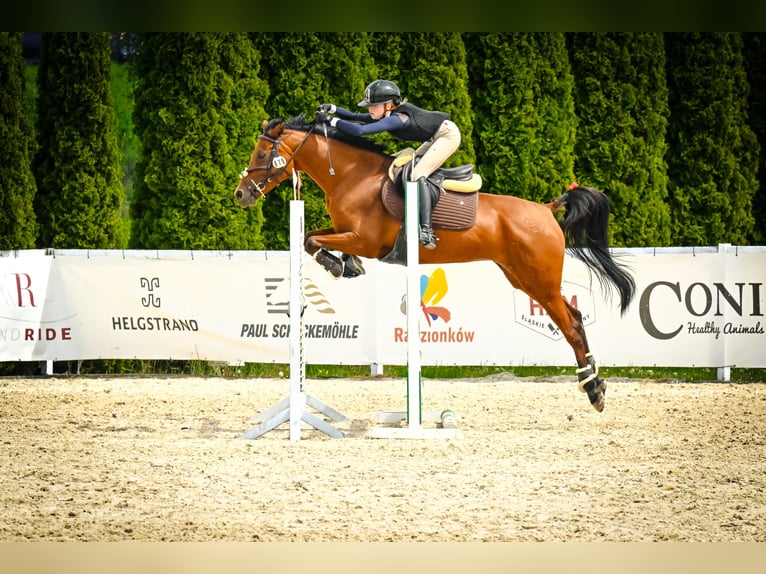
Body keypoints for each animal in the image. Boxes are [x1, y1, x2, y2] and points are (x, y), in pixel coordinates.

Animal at [234, 114, 635, 412]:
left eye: (261, 154)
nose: (241, 195)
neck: (351, 176)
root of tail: (546, 210)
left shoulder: (365, 239)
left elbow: (312, 242)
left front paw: (338, 265)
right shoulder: (346, 231)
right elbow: (310, 238)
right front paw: (347, 265)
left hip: (540, 281)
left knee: (571, 323)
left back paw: (594, 389)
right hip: (521, 277)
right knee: (573, 317)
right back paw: (593, 382)